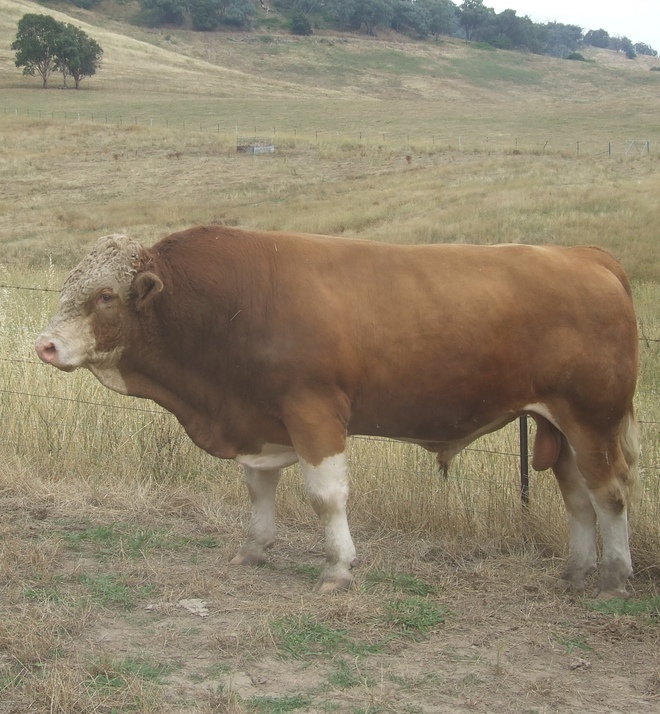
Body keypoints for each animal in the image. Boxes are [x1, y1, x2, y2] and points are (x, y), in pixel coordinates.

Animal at [35, 226, 640, 597]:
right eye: (67, 287)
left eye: (105, 297)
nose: (45, 345)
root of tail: (586, 255)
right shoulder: (259, 423)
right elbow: (259, 489)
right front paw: (254, 549)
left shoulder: (314, 411)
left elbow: (326, 496)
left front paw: (338, 567)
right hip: (558, 425)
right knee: (578, 497)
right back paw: (576, 570)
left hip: (594, 420)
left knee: (608, 493)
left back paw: (614, 575)